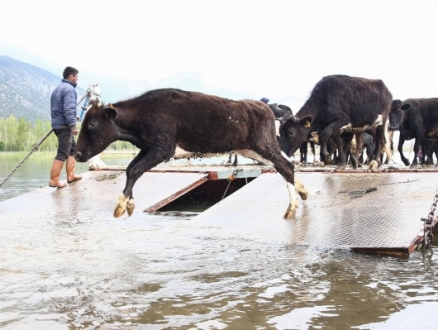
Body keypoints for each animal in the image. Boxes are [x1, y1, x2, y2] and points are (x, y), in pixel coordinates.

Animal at [74, 88, 308, 219]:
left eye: (92, 123)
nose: (76, 154)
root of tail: (265, 107)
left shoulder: (163, 147)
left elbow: (134, 170)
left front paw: (122, 205)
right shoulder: (148, 147)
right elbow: (131, 169)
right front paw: (129, 202)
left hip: (262, 144)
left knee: (285, 166)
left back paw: (291, 208)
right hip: (251, 148)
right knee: (286, 163)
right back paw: (302, 191)